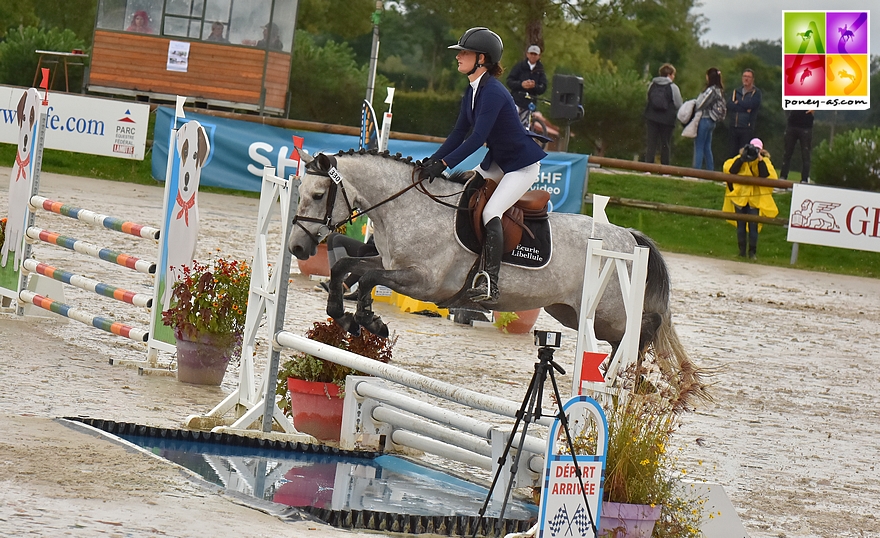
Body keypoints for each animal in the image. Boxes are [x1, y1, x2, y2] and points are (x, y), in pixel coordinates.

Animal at [288, 149, 696, 376]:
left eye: (319, 194)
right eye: (301, 191)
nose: (296, 247)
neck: (407, 206)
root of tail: (628, 236)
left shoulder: (424, 281)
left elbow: (369, 275)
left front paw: (368, 320)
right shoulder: (389, 262)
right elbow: (347, 268)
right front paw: (350, 318)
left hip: (607, 308)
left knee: (644, 328)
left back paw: (621, 376)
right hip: (573, 312)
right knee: (624, 337)